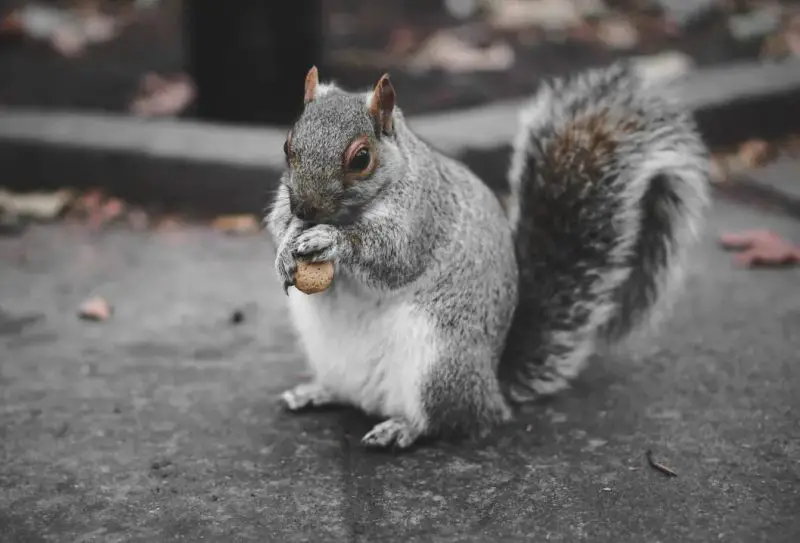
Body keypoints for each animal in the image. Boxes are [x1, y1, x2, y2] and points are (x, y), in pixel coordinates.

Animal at [265, 62, 710, 450]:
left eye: (361, 158)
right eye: (287, 145)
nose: (306, 209)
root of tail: (492, 388)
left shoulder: (424, 215)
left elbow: (394, 257)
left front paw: (332, 240)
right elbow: (277, 222)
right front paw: (286, 246)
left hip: (440, 363)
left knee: (450, 420)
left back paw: (403, 427)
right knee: (350, 393)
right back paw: (315, 392)